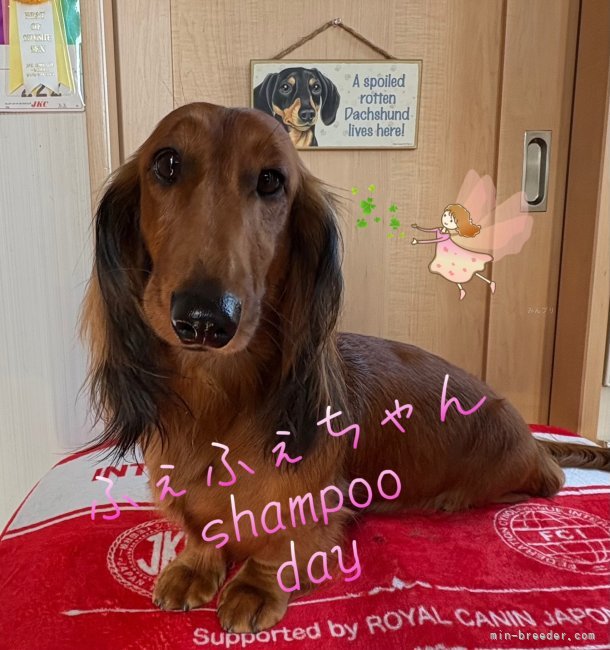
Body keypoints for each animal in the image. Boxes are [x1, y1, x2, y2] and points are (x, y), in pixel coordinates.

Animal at [82, 102, 609, 634]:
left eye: (271, 180)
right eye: (166, 163)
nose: (205, 319)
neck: (218, 400)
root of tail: (528, 432)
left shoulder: (317, 509)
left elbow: (281, 546)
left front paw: (255, 586)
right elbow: (200, 529)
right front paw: (195, 565)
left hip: (512, 468)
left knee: (552, 481)